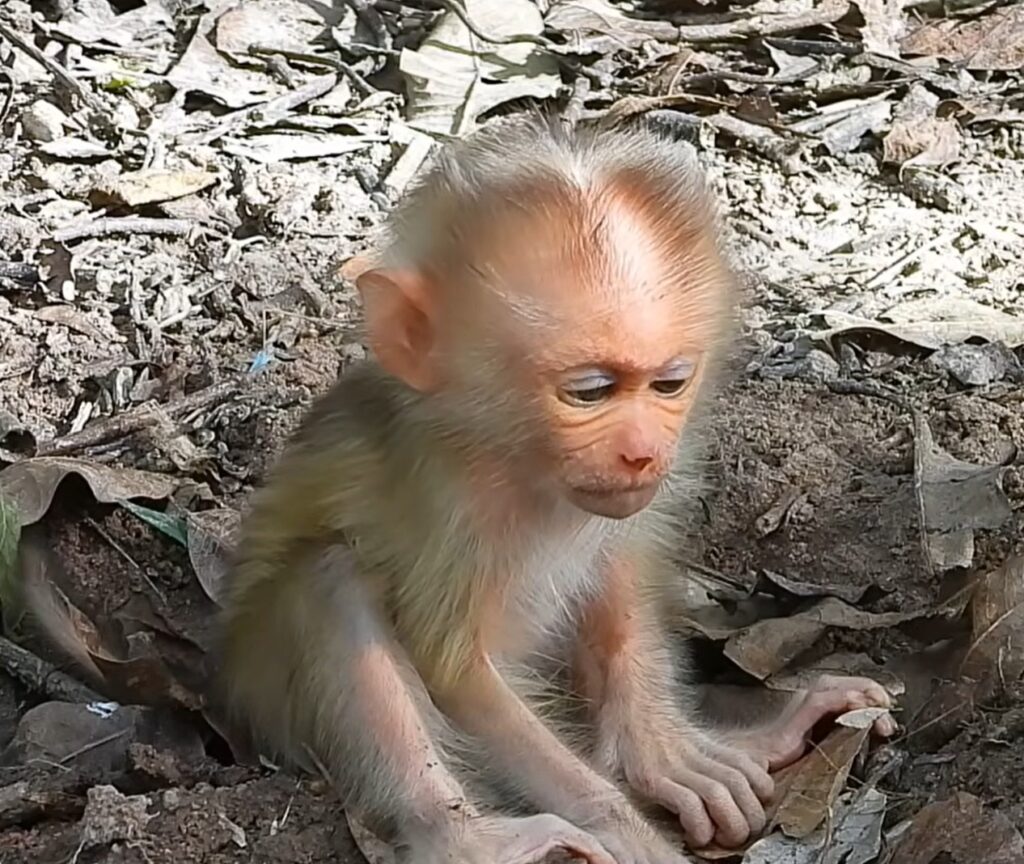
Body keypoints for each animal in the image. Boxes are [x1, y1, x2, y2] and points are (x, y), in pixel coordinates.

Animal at [224, 115, 893, 863]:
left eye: (669, 383)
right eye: (590, 392)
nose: (640, 451)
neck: (518, 463)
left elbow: (619, 573)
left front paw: (665, 753)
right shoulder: (451, 504)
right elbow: (457, 669)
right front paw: (631, 832)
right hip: (259, 684)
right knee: (327, 579)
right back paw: (463, 839)